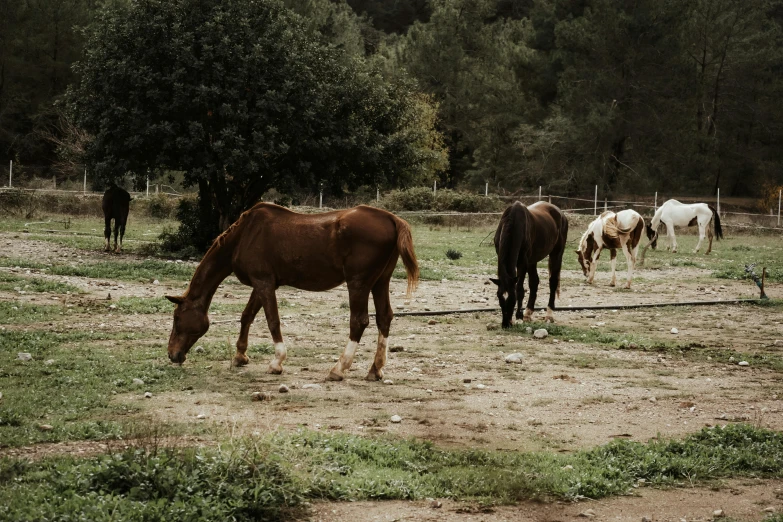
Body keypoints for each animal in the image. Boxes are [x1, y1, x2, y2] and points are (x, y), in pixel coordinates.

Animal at [165, 201, 420, 380]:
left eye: (177, 318)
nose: (172, 355)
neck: (245, 235)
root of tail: (392, 218)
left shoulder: (264, 283)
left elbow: (272, 321)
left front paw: (277, 362)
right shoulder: (262, 284)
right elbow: (247, 316)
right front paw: (240, 356)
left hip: (358, 284)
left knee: (359, 321)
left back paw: (338, 369)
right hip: (380, 282)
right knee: (384, 318)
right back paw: (375, 370)